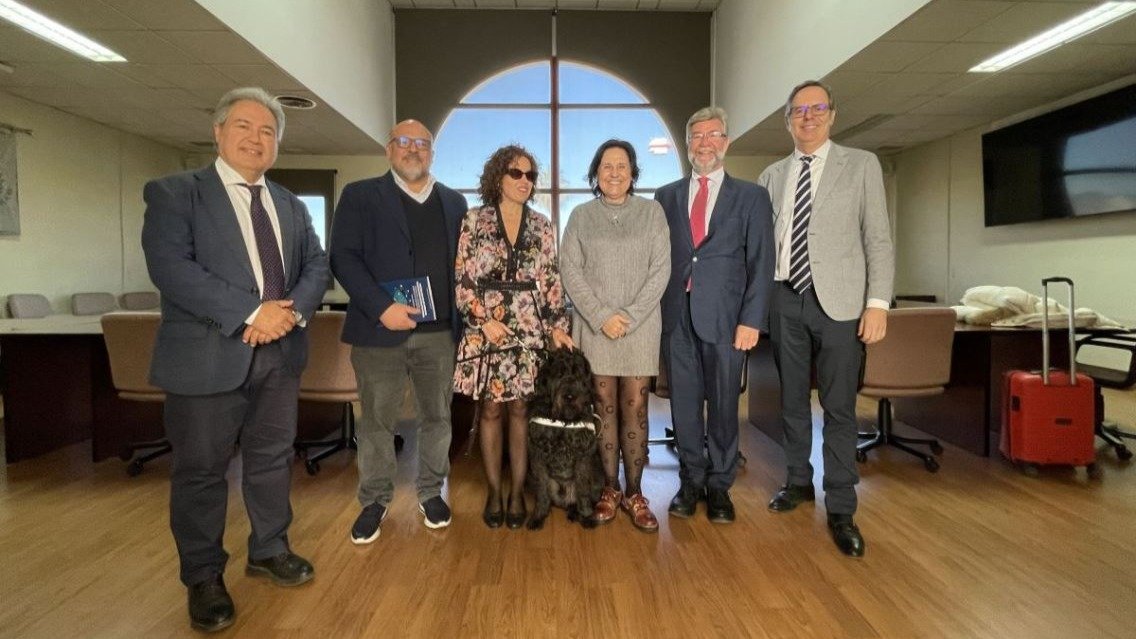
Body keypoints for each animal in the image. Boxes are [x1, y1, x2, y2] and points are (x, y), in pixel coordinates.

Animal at [527, 345, 608, 525]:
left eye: (578, 375)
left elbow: (583, 488)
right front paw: (538, 515)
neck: (564, 420)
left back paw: (575, 512)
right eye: (559, 374)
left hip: (598, 476)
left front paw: (586, 515)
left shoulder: (583, 455)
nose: (570, 396)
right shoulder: (537, 455)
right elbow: (541, 490)